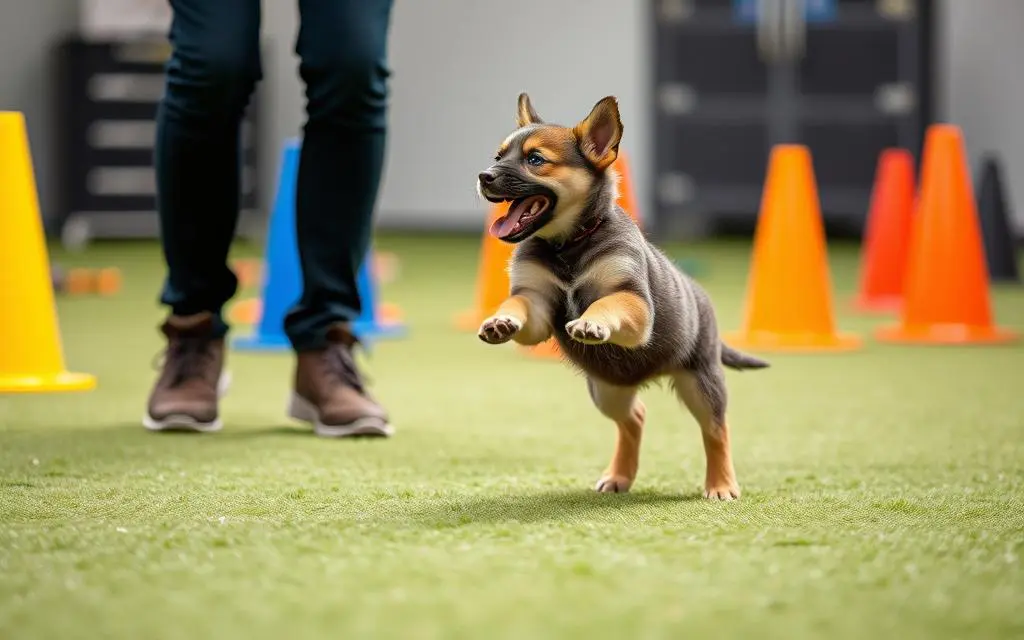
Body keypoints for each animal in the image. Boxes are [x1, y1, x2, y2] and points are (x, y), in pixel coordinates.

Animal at [473, 92, 770, 499]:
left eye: (535, 160)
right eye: (498, 155)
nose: (483, 176)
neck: (568, 246)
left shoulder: (635, 303)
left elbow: (605, 302)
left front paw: (591, 324)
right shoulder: (536, 302)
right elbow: (516, 303)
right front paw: (500, 321)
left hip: (701, 382)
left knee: (716, 429)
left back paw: (722, 484)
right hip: (607, 390)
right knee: (636, 417)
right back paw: (619, 476)